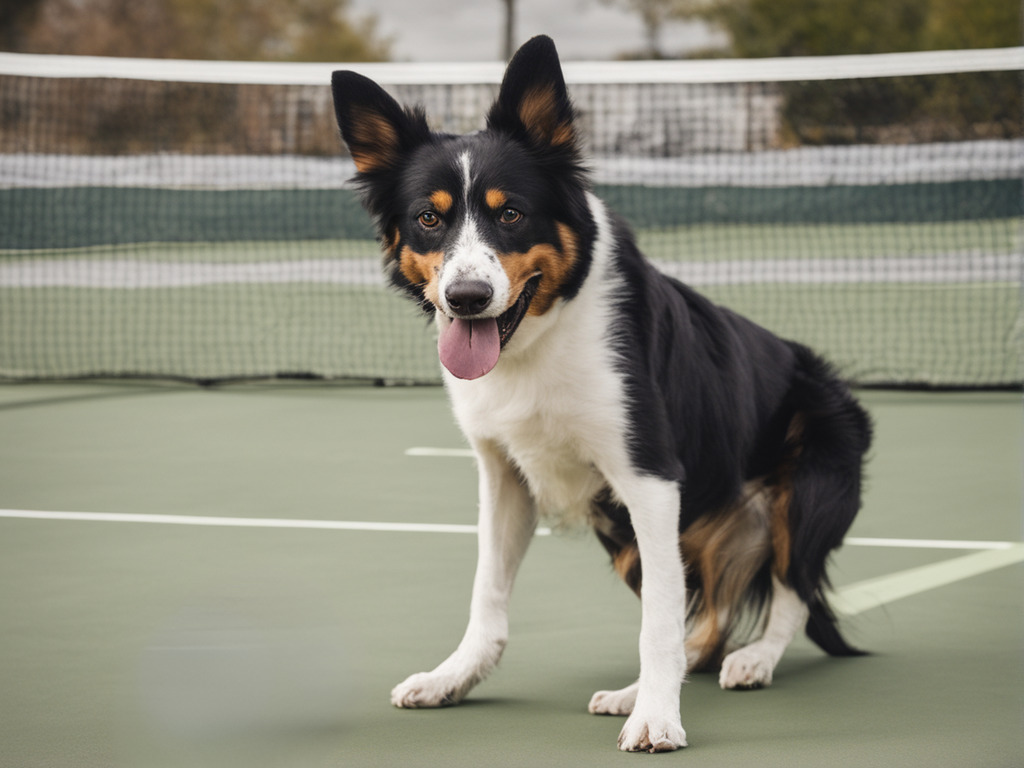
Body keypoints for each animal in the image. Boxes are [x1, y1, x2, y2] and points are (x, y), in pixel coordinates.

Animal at [331, 34, 868, 753]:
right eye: (428, 219)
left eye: (510, 213)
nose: (466, 297)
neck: (540, 338)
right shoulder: (506, 476)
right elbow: (487, 596)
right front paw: (454, 677)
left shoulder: (649, 477)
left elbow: (660, 625)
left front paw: (659, 718)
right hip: (635, 537)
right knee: (707, 623)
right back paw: (638, 690)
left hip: (801, 480)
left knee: (790, 588)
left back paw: (750, 660)